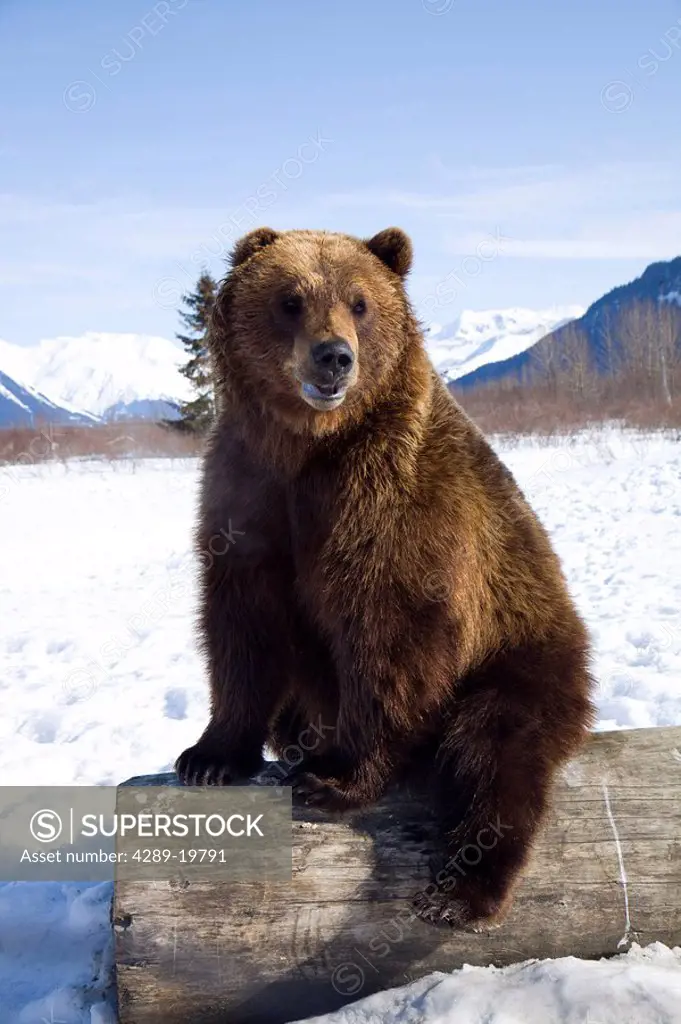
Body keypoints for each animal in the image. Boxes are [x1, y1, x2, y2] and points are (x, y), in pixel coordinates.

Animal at [176, 224, 593, 929]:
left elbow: (393, 632)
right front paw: (208, 756)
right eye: (291, 299)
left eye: (360, 302)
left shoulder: (391, 501)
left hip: (522, 650)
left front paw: (335, 778)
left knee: (493, 750)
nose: (334, 358)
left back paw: (459, 890)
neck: (309, 446)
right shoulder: (249, 490)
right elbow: (242, 621)